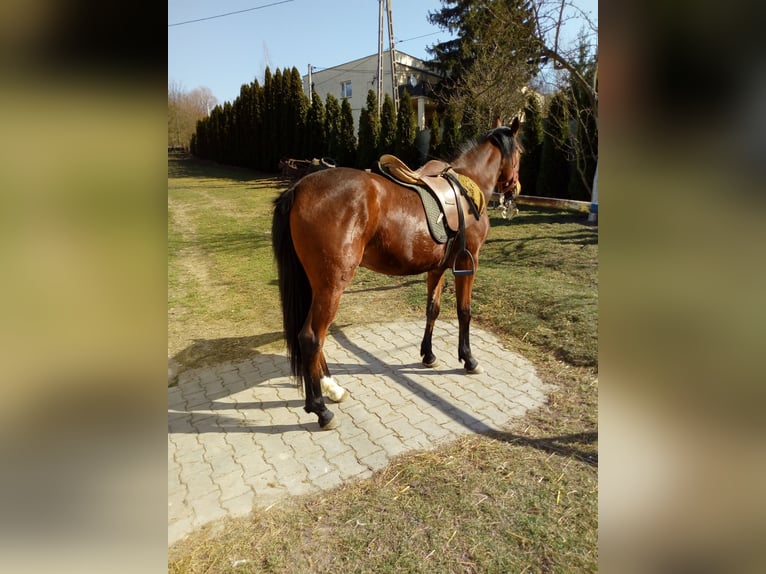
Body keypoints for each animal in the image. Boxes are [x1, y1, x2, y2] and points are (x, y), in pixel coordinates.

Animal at [271, 117, 522, 429]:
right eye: (521, 152)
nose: (515, 188)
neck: (467, 188)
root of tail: (298, 189)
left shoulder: (437, 268)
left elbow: (432, 309)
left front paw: (428, 355)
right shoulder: (468, 262)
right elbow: (464, 312)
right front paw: (468, 359)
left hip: (314, 285)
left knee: (313, 338)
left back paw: (332, 388)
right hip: (331, 287)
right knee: (311, 338)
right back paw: (320, 408)